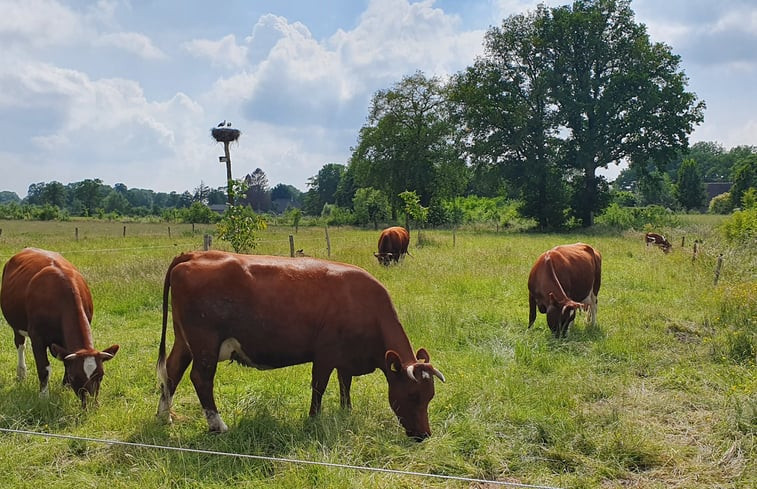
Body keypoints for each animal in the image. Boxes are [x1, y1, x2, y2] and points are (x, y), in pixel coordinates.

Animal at [0, 248, 119, 404]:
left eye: (101, 375)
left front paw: (65, 388)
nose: (90, 403)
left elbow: (65, 361)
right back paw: (21, 372)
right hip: (16, 325)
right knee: (20, 345)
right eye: (76, 376)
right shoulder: (37, 337)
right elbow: (44, 367)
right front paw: (44, 397)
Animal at [157, 252, 446, 438]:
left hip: (184, 341)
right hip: (205, 343)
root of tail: (194, 254)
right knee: (201, 378)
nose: (424, 435)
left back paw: (164, 416)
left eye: (430, 396)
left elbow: (345, 385)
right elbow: (319, 387)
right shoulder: (325, 355)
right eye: (413, 395)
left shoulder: (345, 359)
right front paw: (313, 419)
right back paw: (218, 425)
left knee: (172, 371)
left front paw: (346, 412)